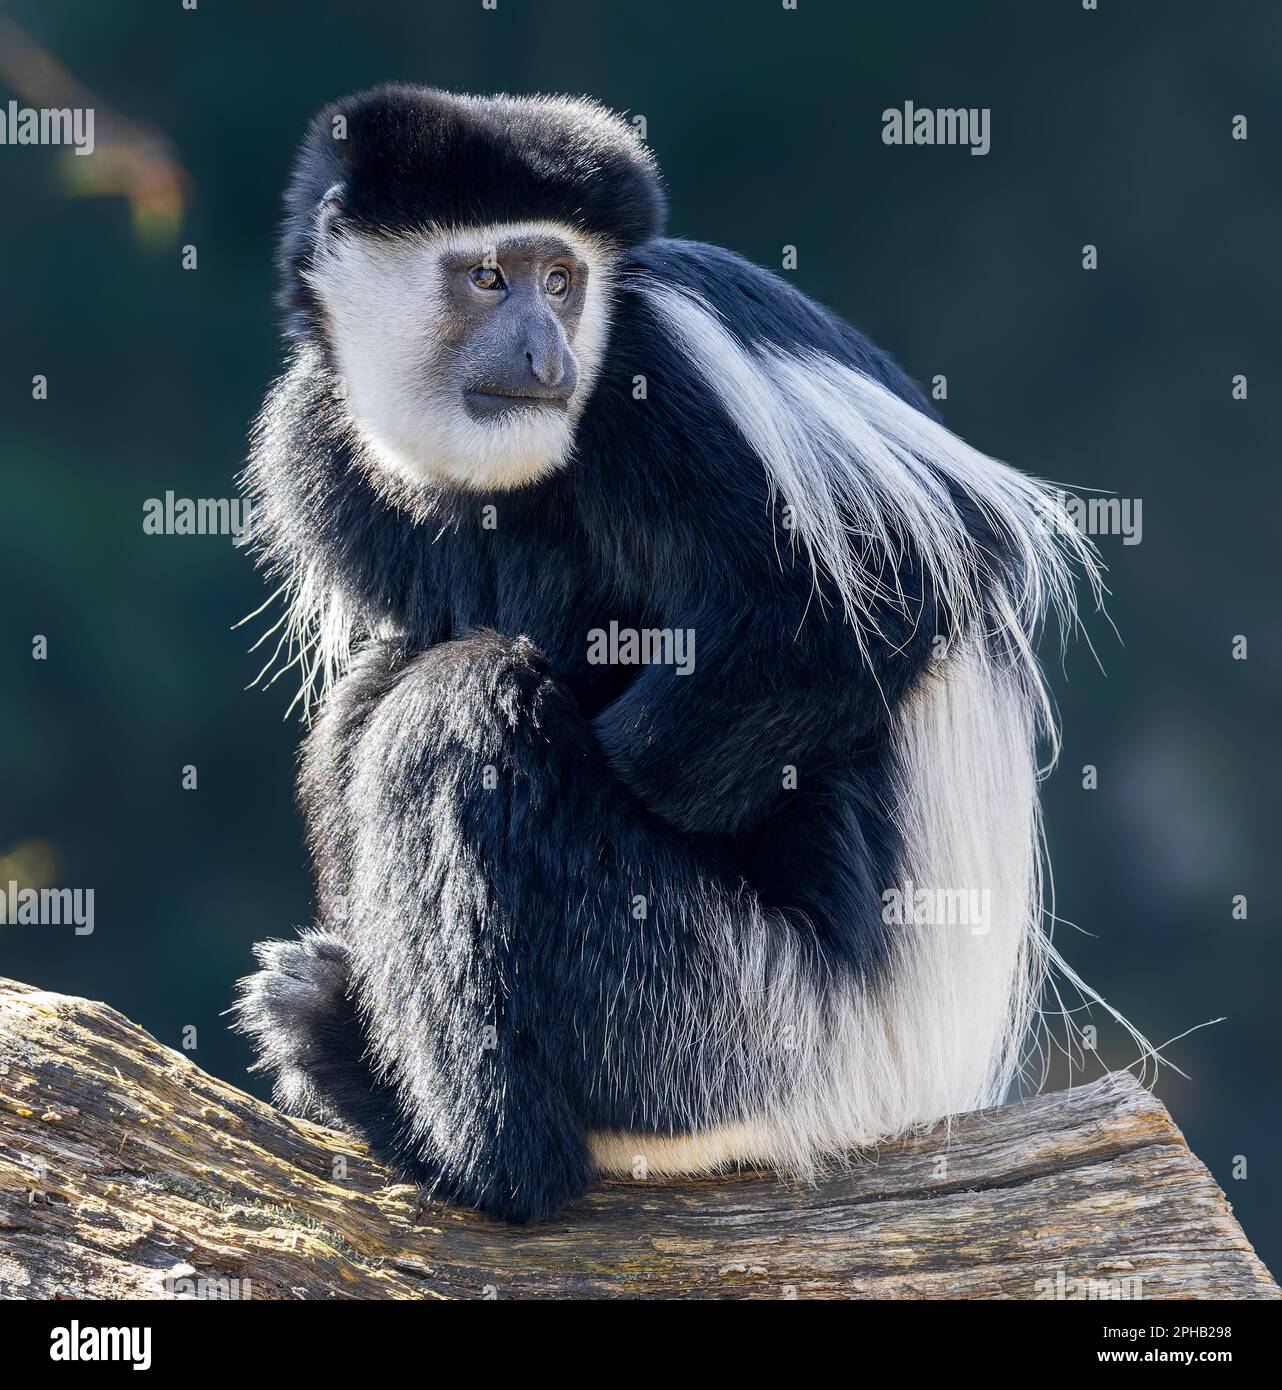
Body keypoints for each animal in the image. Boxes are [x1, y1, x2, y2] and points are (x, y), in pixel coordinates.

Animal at [234, 86, 1106, 1223]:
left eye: (562, 281)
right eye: (488, 276)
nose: (546, 357)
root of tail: (887, 1090)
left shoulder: (660, 369)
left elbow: (894, 583)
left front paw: (610, 754)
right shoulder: (316, 439)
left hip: (728, 1021)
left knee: (455, 711)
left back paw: (461, 1148)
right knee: (382, 687)